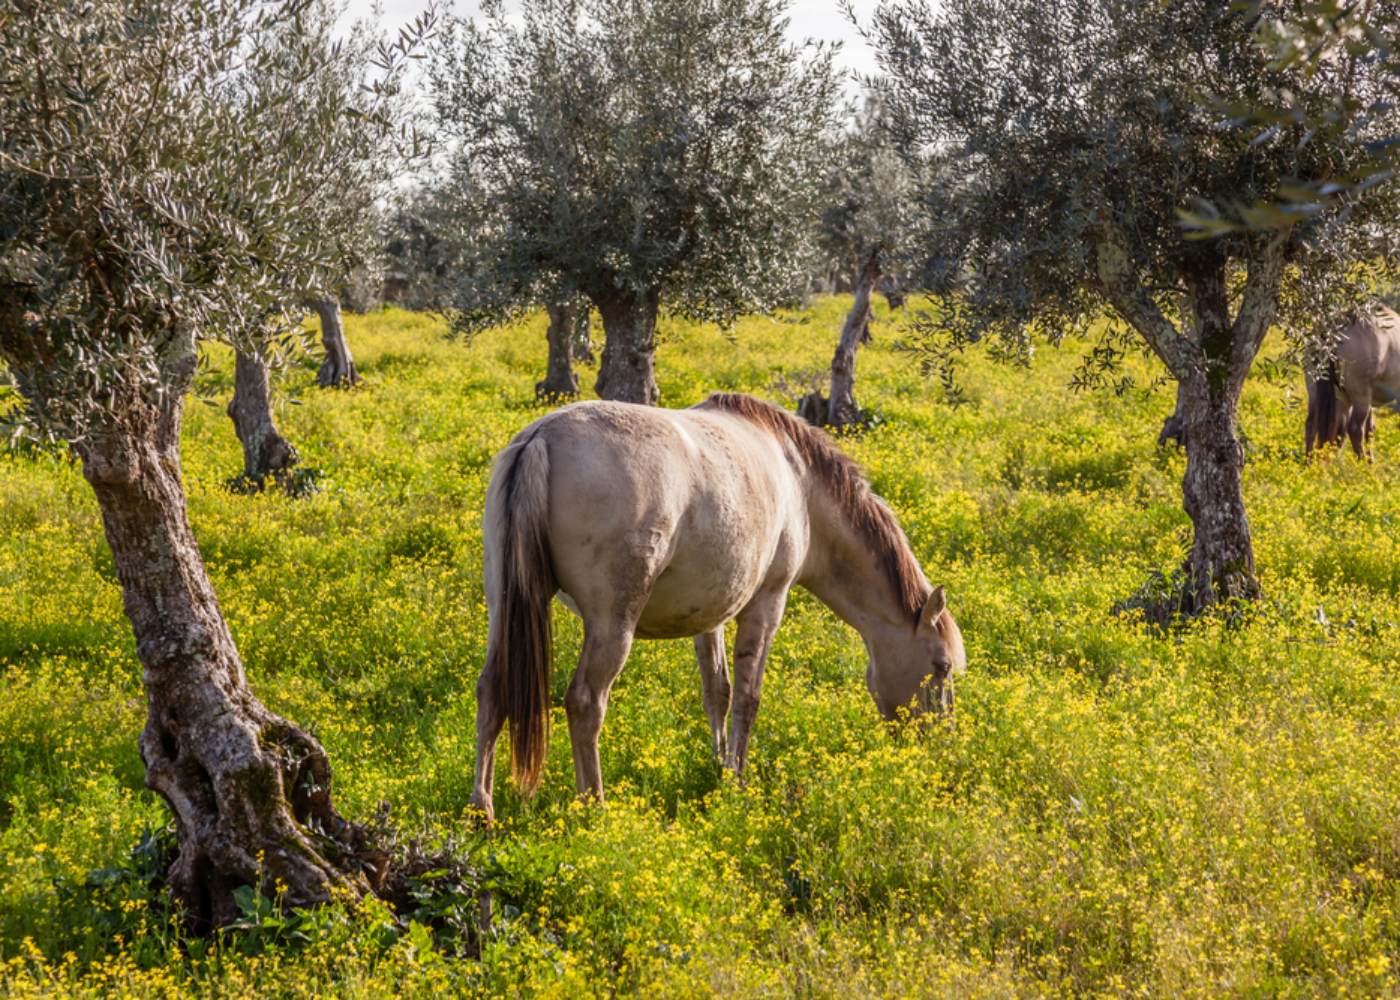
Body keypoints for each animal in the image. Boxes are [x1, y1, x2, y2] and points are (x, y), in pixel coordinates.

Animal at [470, 389, 963, 817]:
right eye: (940, 667)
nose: (942, 748)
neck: (799, 482)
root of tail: (543, 437)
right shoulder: (767, 604)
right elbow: (748, 696)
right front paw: (737, 778)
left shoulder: (711, 614)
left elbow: (717, 691)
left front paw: (719, 763)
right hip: (613, 623)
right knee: (586, 703)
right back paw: (595, 807)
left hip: (504, 606)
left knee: (492, 690)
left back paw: (482, 810)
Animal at [1304, 303, 1400, 459]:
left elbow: (1370, 429)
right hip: (1360, 395)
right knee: (1354, 429)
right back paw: (1361, 464)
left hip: (1318, 393)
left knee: (1313, 425)